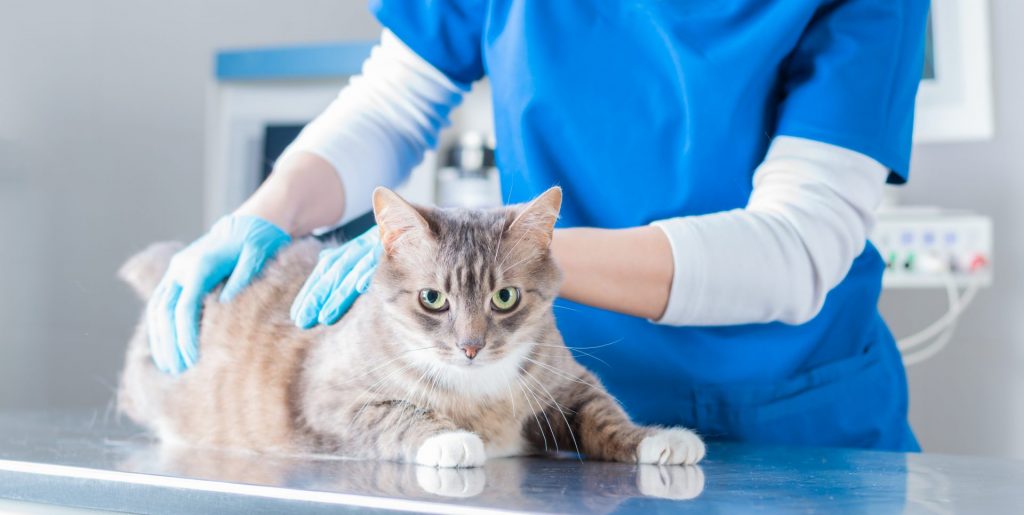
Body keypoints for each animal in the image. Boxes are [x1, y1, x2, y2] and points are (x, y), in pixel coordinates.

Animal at [117, 187, 704, 468]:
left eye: (505, 297)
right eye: (432, 299)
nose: (470, 347)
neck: (478, 393)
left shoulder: (567, 384)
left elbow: (605, 414)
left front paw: (658, 439)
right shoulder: (330, 400)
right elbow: (397, 414)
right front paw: (450, 441)